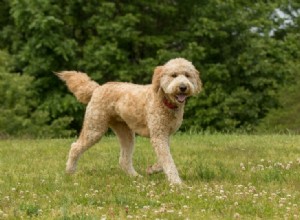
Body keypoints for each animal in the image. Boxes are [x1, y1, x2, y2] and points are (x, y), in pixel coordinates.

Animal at [56, 58, 202, 184]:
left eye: (187, 75)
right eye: (174, 75)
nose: (183, 87)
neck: (164, 101)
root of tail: (97, 88)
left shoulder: (165, 135)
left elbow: (164, 159)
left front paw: (152, 169)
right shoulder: (158, 135)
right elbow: (168, 160)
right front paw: (176, 183)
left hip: (125, 133)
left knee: (124, 160)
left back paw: (135, 176)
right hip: (95, 128)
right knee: (75, 147)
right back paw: (70, 171)